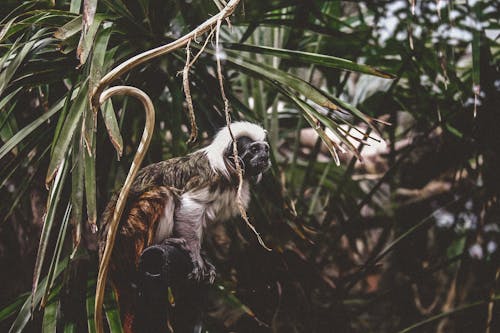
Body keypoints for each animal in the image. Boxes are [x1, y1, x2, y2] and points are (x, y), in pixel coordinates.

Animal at [97, 120, 270, 328]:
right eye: (254, 149)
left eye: (265, 149)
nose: (265, 157)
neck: (231, 172)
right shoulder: (208, 179)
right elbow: (190, 204)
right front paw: (196, 256)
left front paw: (204, 256)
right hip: (129, 235)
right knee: (162, 193)